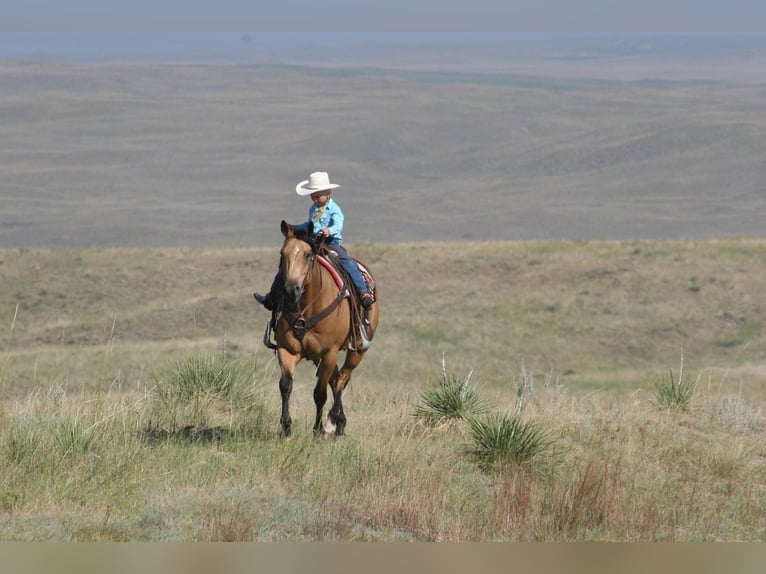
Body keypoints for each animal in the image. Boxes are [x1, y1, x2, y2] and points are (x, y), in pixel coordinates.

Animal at [268, 219, 380, 436]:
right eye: (282, 254)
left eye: (307, 254)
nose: (291, 290)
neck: (307, 308)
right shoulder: (287, 350)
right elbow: (285, 385)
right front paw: (286, 427)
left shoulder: (330, 352)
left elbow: (319, 393)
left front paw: (319, 428)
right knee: (336, 379)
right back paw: (340, 423)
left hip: (356, 350)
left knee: (342, 378)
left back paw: (333, 422)